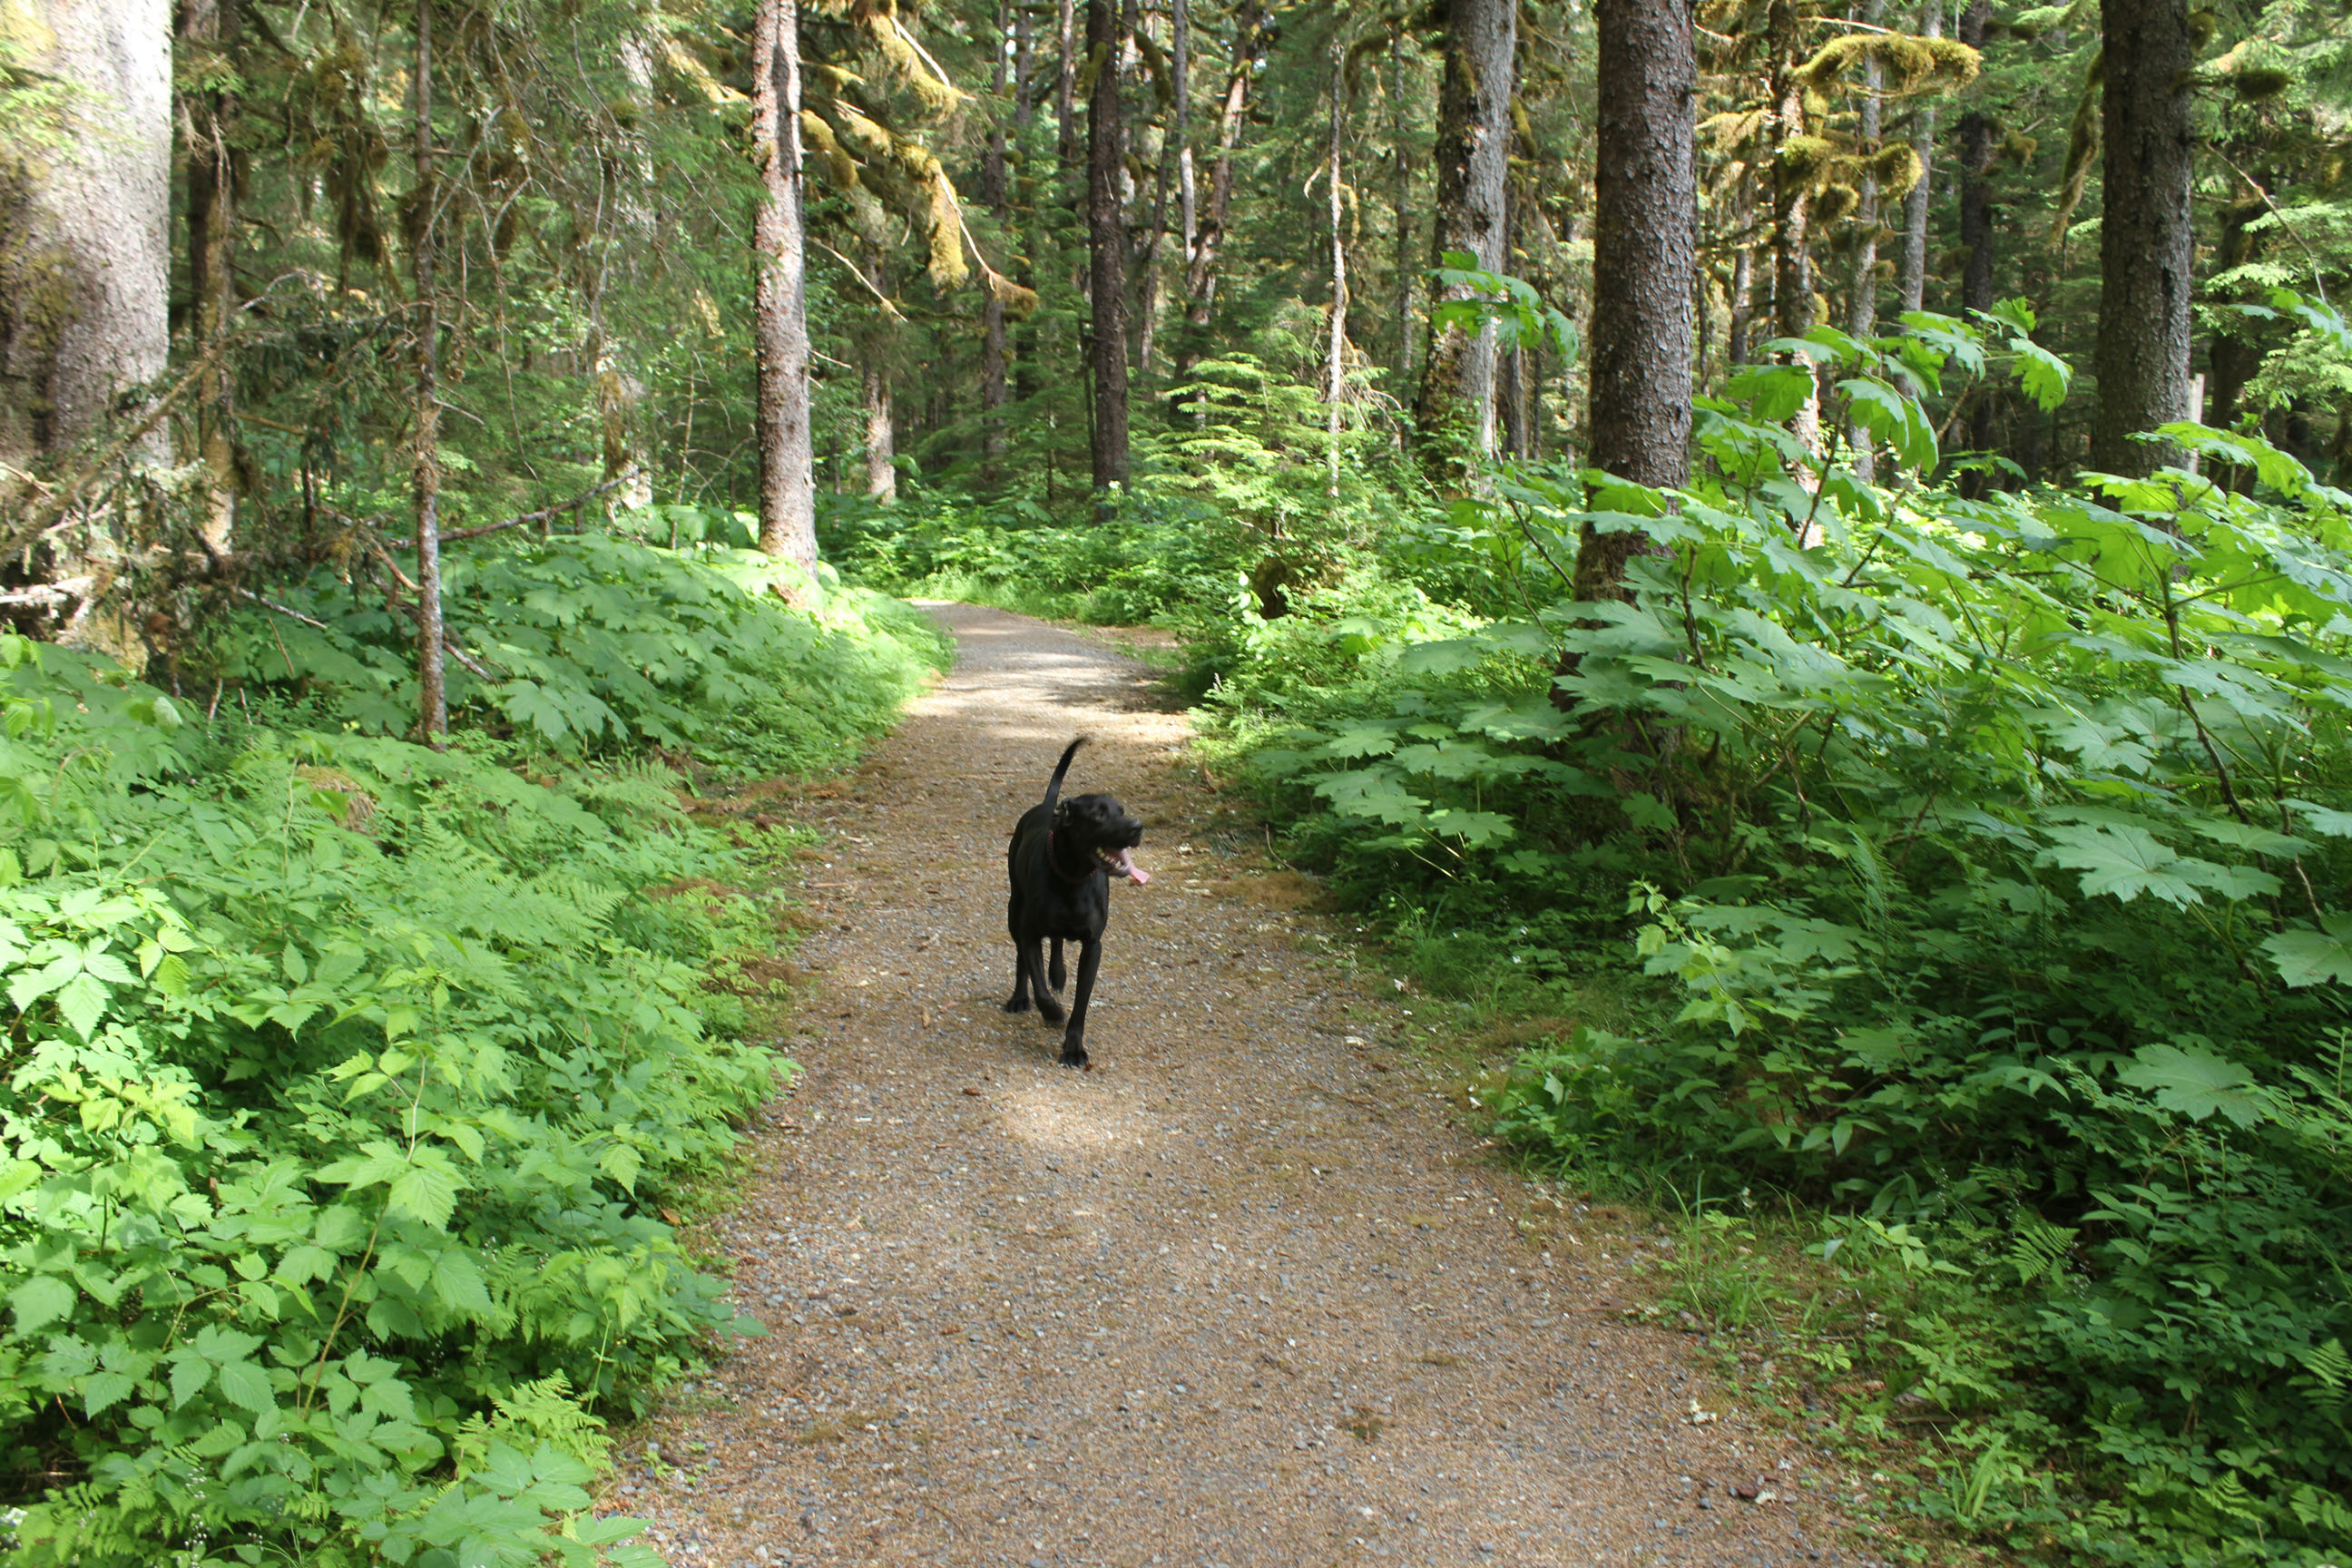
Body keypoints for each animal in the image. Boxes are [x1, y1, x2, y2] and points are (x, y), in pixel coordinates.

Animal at [1003, 737, 1148, 1067]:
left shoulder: (1093, 945)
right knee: (1022, 957)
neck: (1072, 878)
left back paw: (1058, 973)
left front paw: (1073, 1047)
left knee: (1056, 942)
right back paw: (1020, 998)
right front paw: (1052, 1012)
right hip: (1013, 909)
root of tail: (1049, 806)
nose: (1137, 826)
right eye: (1098, 815)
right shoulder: (1029, 933)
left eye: (1121, 809)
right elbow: (1038, 984)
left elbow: (1082, 1001)